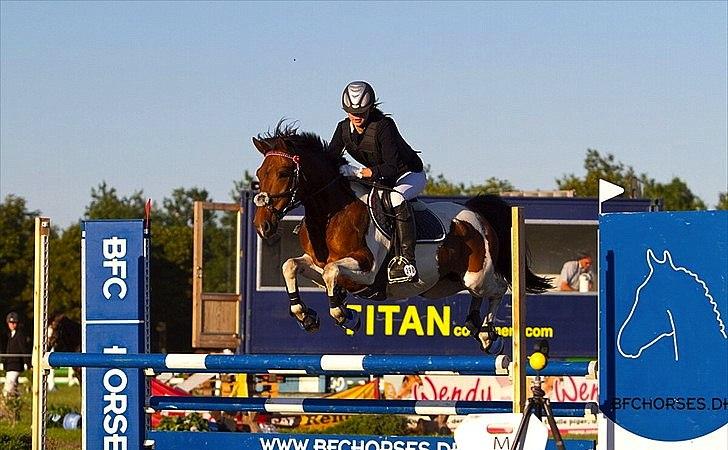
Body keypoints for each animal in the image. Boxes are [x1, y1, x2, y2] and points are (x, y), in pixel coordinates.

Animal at [251, 122, 552, 353]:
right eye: (259, 174)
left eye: (283, 173)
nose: (262, 226)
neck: (331, 215)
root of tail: (476, 214)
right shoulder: (315, 263)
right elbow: (291, 265)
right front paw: (306, 316)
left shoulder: (366, 270)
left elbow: (332, 274)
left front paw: (346, 317)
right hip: (443, 285)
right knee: (477, 299)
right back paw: (477, 326)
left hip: (476, 276)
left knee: (497, 290)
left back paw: (490, 335)